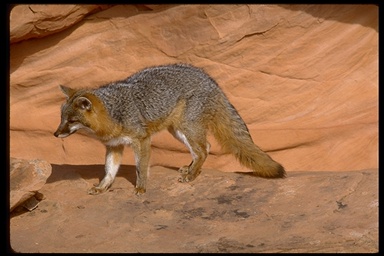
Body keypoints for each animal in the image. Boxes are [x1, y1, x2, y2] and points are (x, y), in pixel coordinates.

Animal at [55, 63, 286, 194]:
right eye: (61, 118)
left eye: (71, 120)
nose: (56, 133)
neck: (115, 112)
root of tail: (211, 80)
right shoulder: (114, 146)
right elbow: (109, 171)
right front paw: (103, 187)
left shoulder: (142, 140)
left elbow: (141, 168)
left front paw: (141, 188)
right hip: (178, 131)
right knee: (206, 147)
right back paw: (191, 169)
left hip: (187, 127)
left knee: (203, 150)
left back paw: (191, 175)